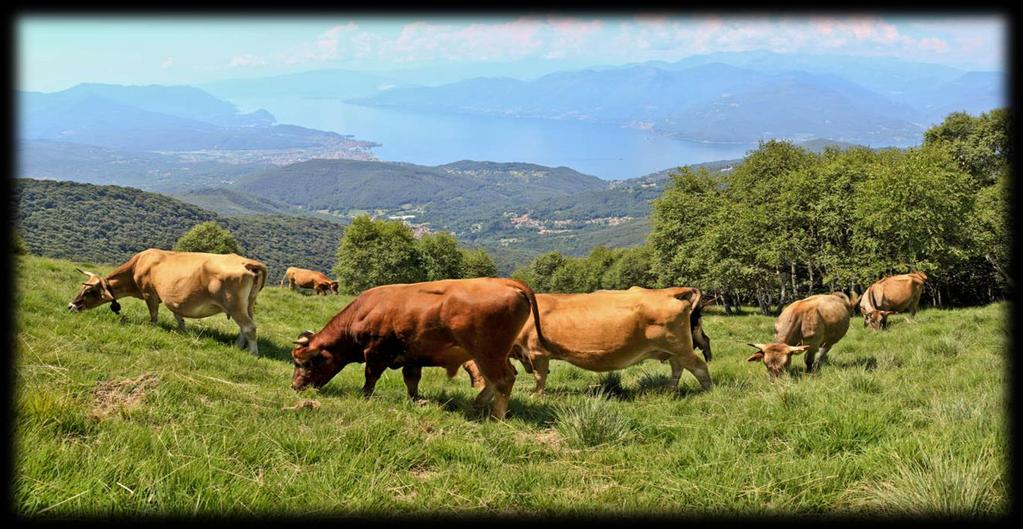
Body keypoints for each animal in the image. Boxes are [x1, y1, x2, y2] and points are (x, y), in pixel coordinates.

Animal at [68, 248, 268, 354]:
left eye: (88, 291)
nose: (71, 306)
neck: (137, 266)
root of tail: (244, 262)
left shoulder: (149, 294)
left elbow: (154, 315)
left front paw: (153, 328)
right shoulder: (171, 297)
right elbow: (177, 315)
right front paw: (183, 330)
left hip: (234, 305)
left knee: (249, 327)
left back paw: (252, 353)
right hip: (247, 305)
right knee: (244, 327)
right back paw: (237, 346)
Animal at [290, 276, 544, 421]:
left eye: (304, 362)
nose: (294, 386)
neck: (364, 312)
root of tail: (506, 282)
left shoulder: (376, 353)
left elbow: (370, 377)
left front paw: (365, 396)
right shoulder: (412, 358)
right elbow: (411, 380)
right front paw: (415, 400)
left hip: (488, 353)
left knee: (503, 379)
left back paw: (496, 416)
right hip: (495, 354)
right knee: (499, 377)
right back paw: (478, 403)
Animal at [466, 286, 712, 392]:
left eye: (471, 369)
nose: (476, 388)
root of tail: (666, 291)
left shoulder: (537, 353)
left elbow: (540, 378)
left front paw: (537, 395)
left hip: (679, 346)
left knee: (699, 366)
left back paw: (708, 390)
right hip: (673, 349)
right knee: (677, 368)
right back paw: (669, 390)